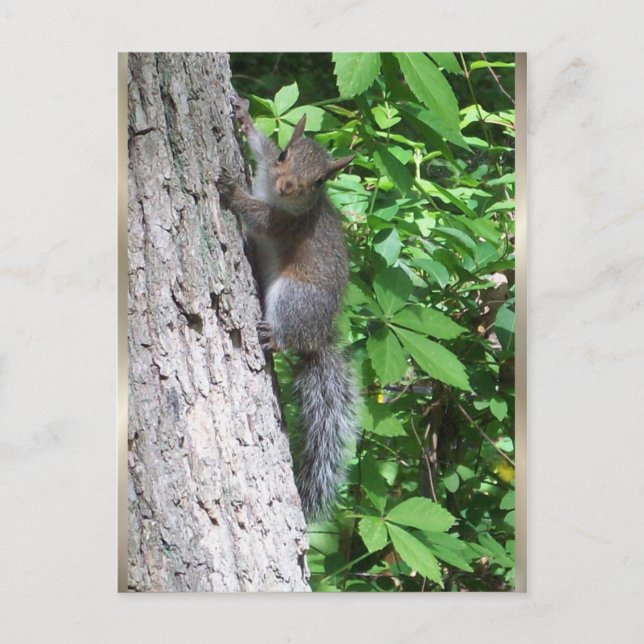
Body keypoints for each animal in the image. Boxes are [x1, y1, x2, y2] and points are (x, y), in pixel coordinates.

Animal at [218, 95, 357, 521]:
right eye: (284, 155)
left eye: (320, 182)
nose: (287, 185)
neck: (276, 196)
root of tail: (317, 337)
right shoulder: (265, 167)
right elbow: (259, 147)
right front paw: (244, 118)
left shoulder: (284, 224)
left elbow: (260, 218)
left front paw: (233, 191)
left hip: (293, 296)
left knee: (286, 335)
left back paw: (272, 336)